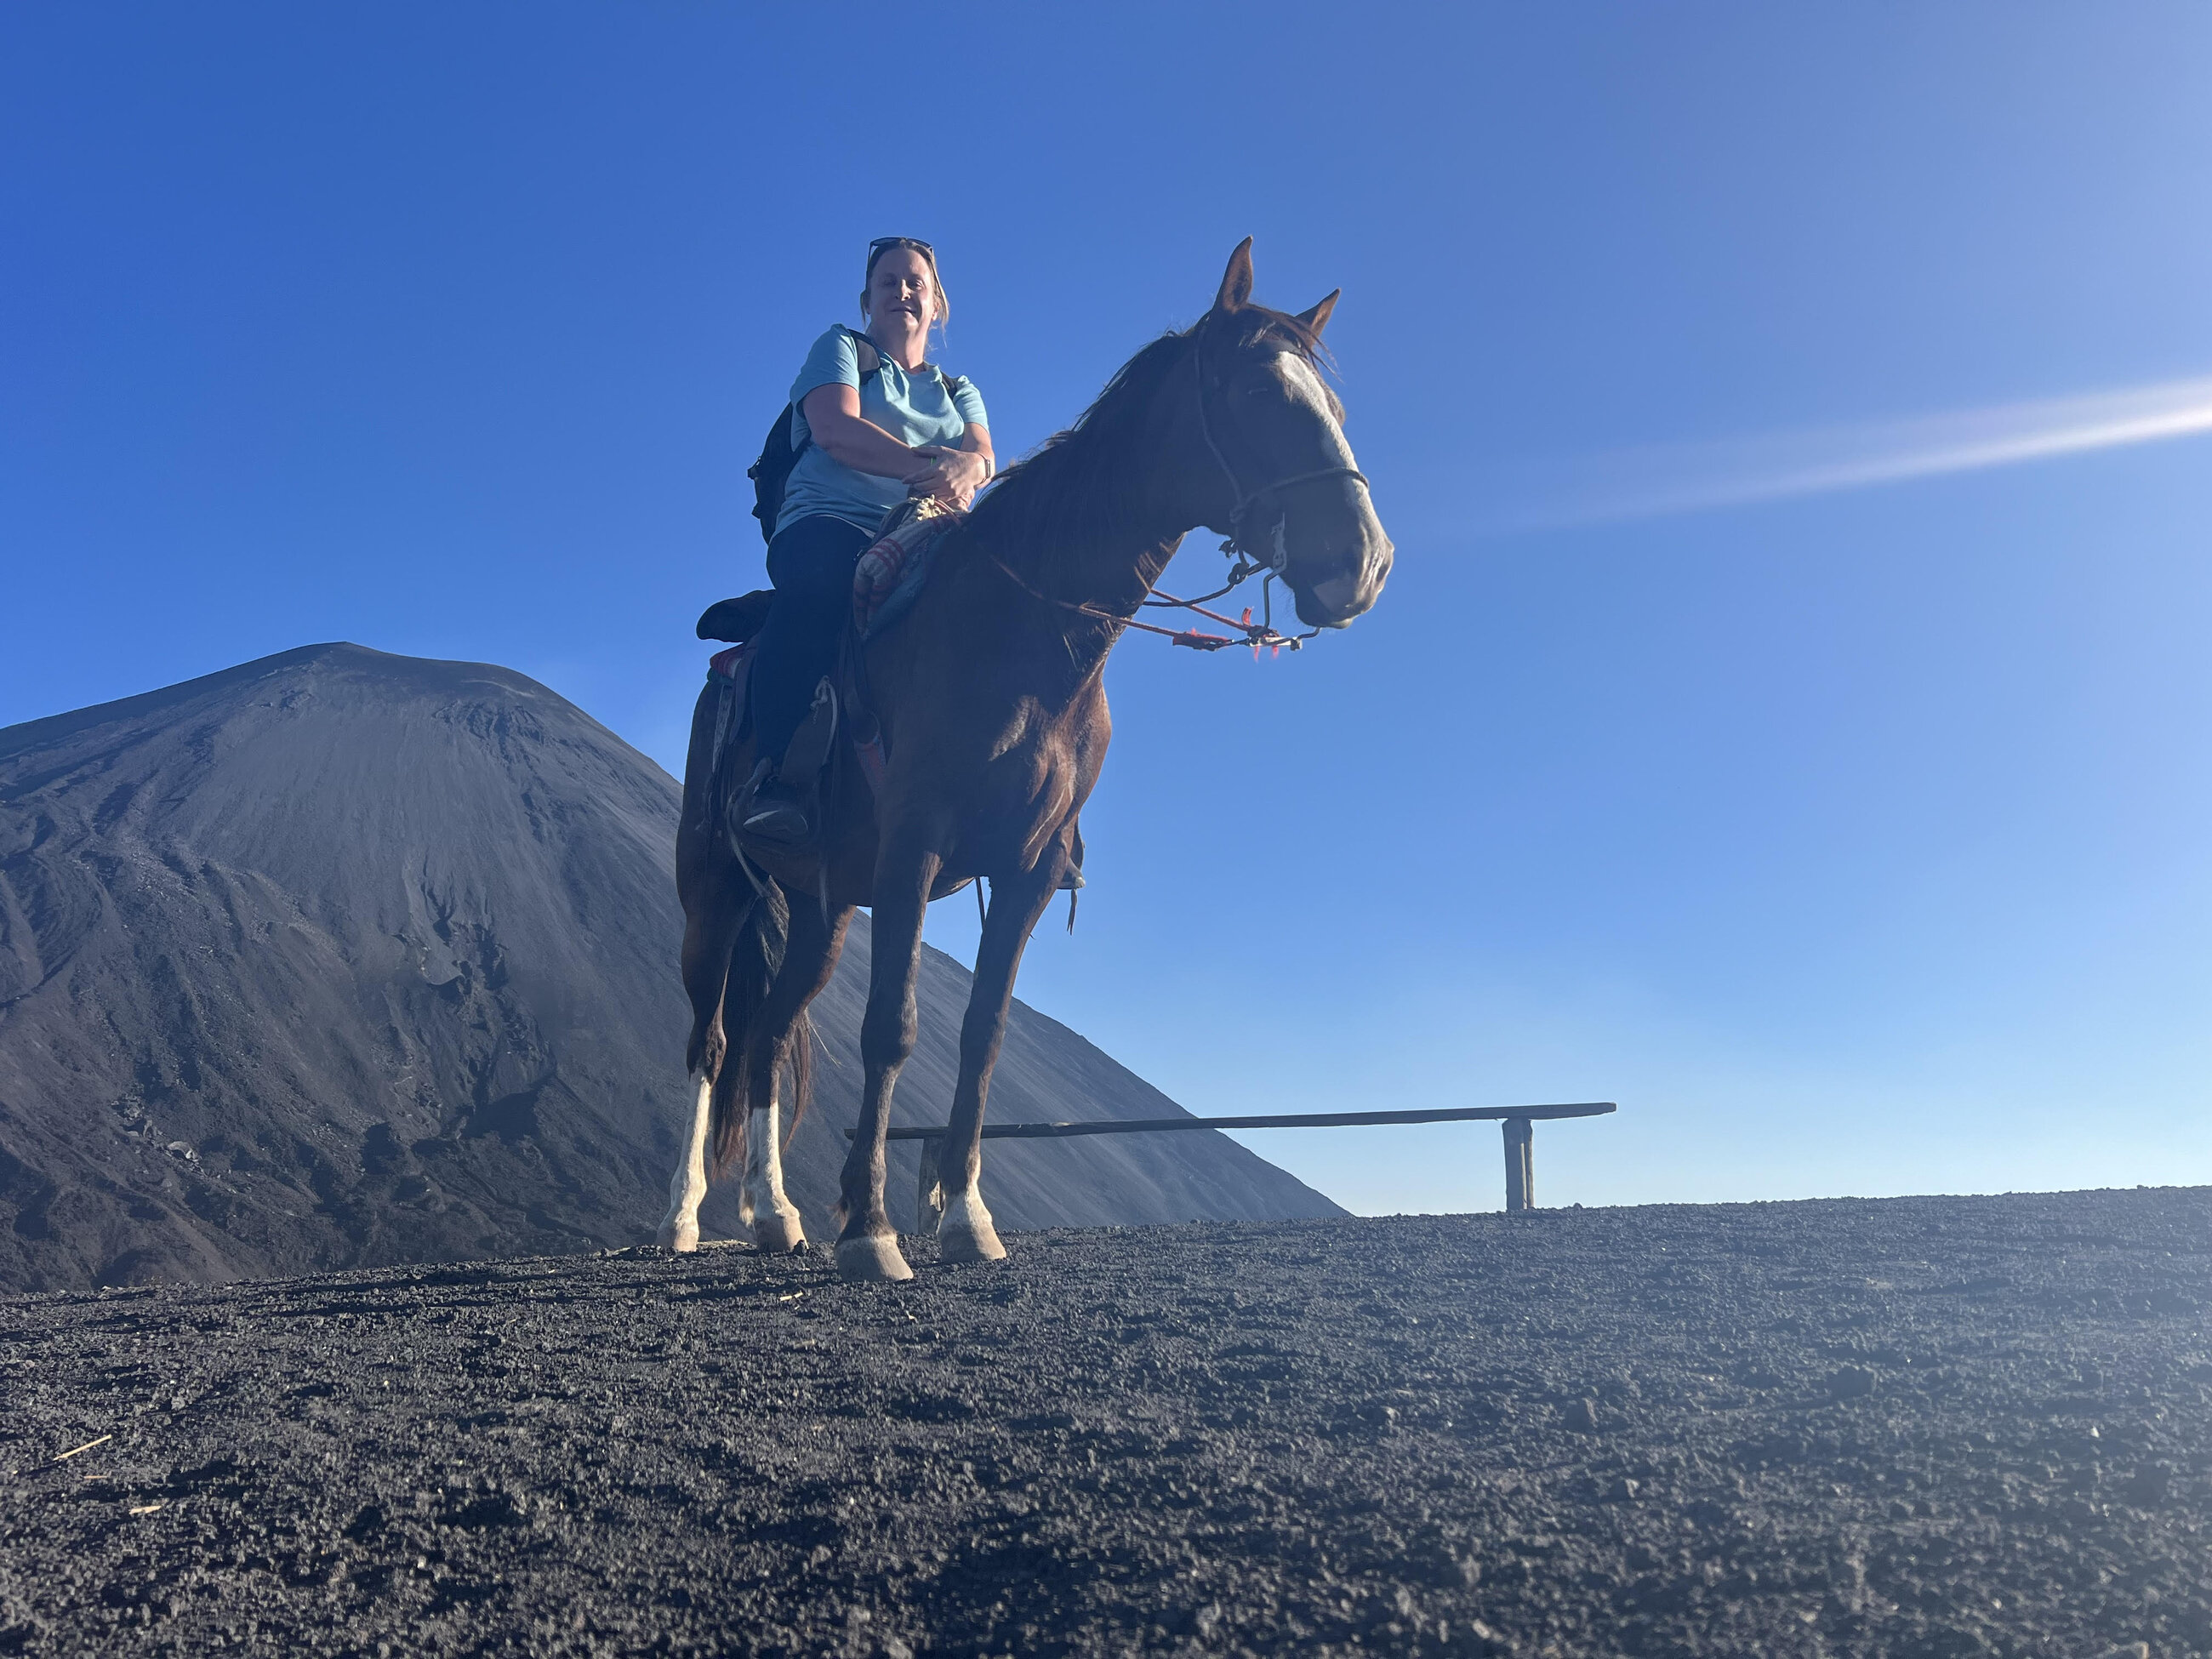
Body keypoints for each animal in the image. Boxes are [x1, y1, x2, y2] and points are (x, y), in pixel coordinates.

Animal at [654, 240, 1388, 1283]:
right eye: (1255, 392)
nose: (1363, 564)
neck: (1030, 639)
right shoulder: (915, 846)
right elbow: (893, 1028)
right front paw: (870, 1230)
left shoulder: (1029, 869)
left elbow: (982, 1037)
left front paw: (965, 1218)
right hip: (715, 889)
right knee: (713, 1039)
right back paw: (683, 1214)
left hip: (822, 906)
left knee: (771, 1030)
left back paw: (772, 1211)